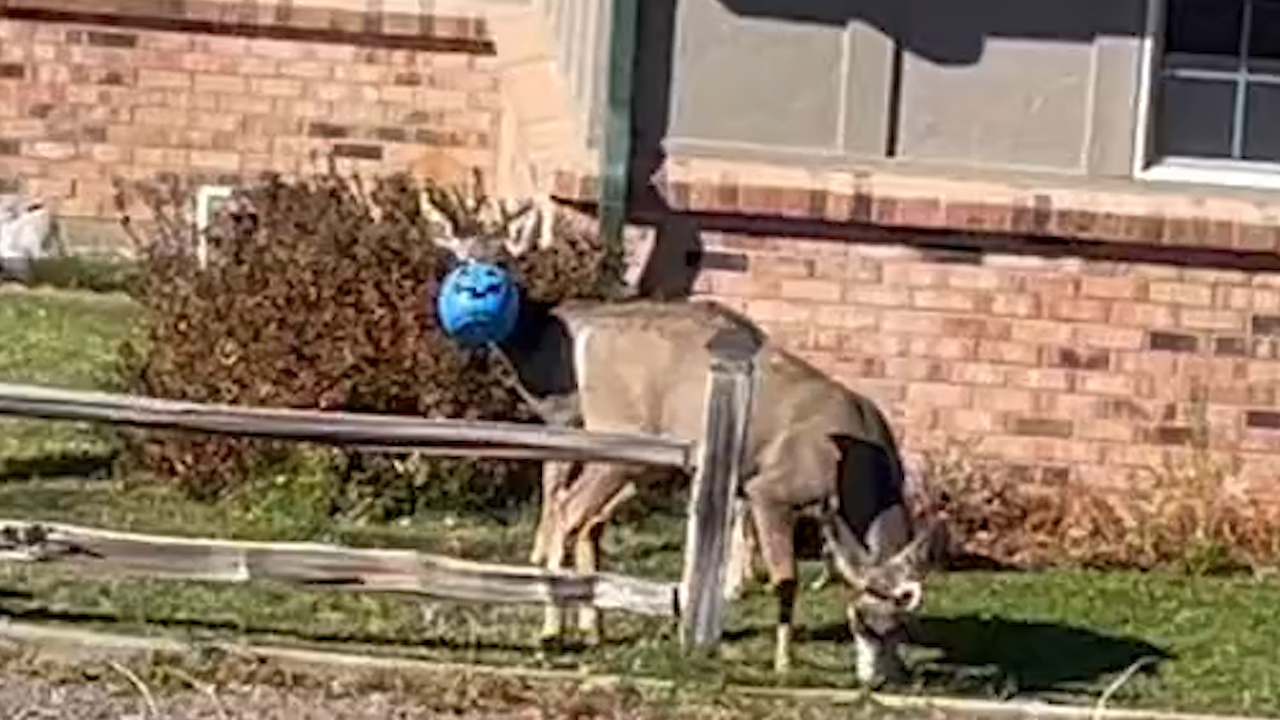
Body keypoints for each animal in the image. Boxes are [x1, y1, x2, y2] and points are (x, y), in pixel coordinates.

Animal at [424, 180, 936, 681]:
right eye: (859, 621)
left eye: (899, 627)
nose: (879, 678)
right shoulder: (771, 489)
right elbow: (785, 578)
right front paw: (784, 662)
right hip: (622, 443)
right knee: (575, 513)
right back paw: (556, 627)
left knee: (586, 517)